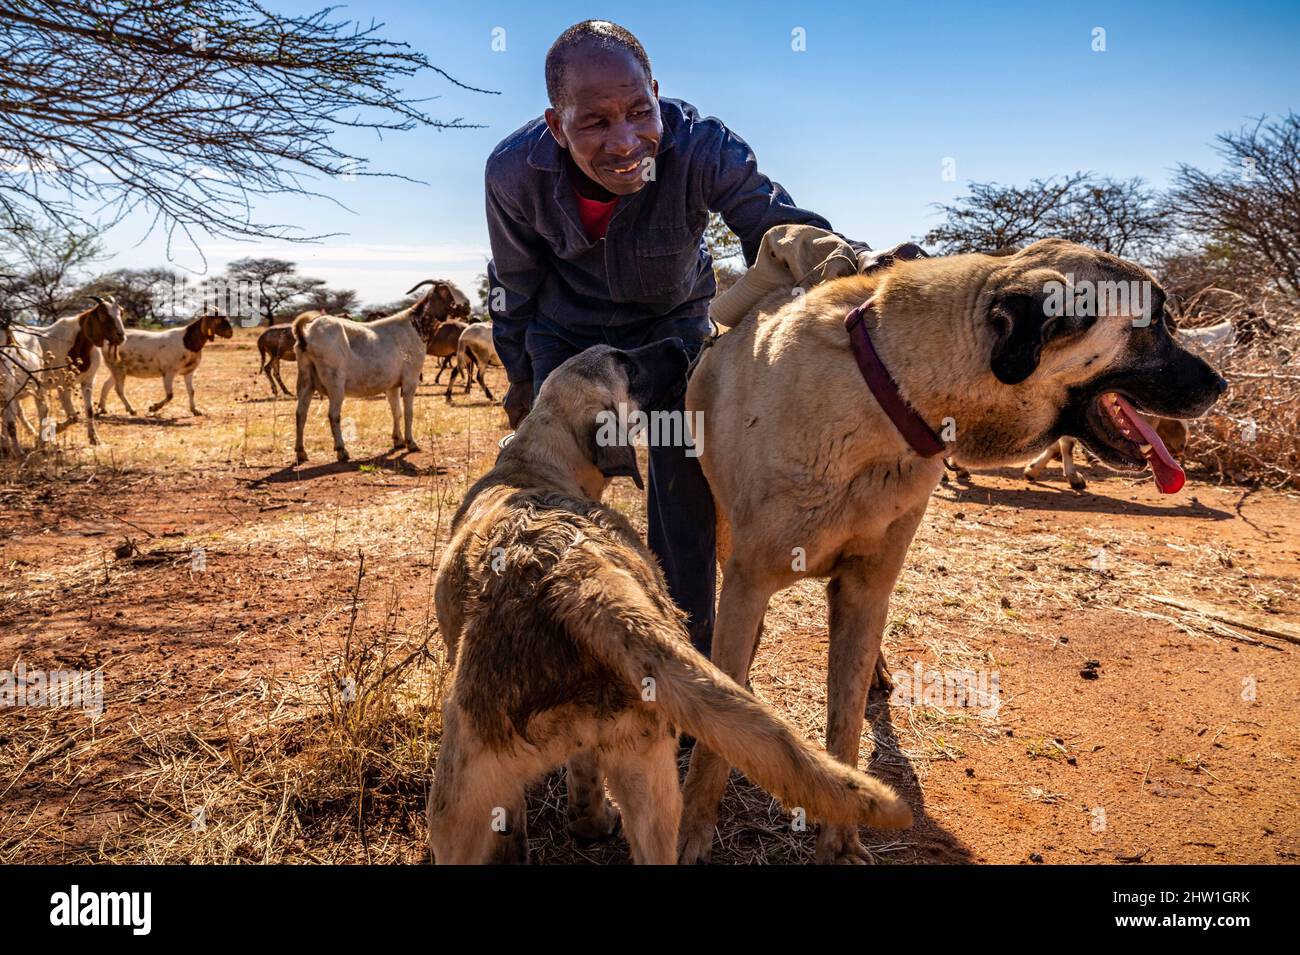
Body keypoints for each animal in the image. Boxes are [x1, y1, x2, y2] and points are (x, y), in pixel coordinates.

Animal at [2, 294, 126, 452]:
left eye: (121, 312)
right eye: (103, 314)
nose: (121, 336)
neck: (76, 344)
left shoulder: (88, 381)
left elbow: (89, 410)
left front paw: (94, 439)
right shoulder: (64, 385)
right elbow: (73, 417)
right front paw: (56, 428)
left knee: (16, 412)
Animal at [101, 314, 236, 418]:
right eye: (218, 319)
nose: (230, 333)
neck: (187, 342)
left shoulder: (188, 372)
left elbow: (191, 391)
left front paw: (195, 410)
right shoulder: (169, 372)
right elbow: (170, 395)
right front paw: (153, 408)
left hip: (118, 369)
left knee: (106, 385)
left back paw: (103, 409)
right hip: (118, 368)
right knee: (119, 389)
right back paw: (131, 410)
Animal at [292, 278, 460, 465]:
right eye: (444, 291)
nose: (463, 306)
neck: (415, 325)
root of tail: (306, 335)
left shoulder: (393, 385)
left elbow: (397, 411)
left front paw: (398, 441)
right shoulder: (410, 379)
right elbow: (408, 412)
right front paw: (411, 443)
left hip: (305, 380)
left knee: (300, 414)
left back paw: (301, 452)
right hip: (335, 383)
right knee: (333, 415)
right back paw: (342, 450)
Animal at [426, 337, 904, 867]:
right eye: (627, 365)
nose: (682, 342)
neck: (531, 468)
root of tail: (576, 578)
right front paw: (586, 825)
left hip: (456, 803)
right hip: (637, 780)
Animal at [681, 233, 1227, 867]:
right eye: (1154, 322)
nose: (1222, 385)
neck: (890, 391)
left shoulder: (867, 587)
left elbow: (845, 726)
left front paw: (840, 841)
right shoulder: (748, 582)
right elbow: (717, 736)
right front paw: (694, 830)